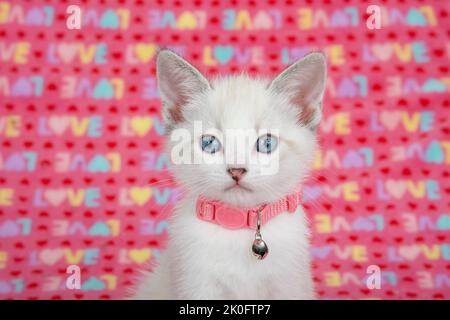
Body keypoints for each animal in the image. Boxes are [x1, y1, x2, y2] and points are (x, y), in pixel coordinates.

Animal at [132, 48, 326, 298]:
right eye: (209, 143)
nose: (236, 169)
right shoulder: (196, 284)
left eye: (266, 143)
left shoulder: (289, 283)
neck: (239, 228)